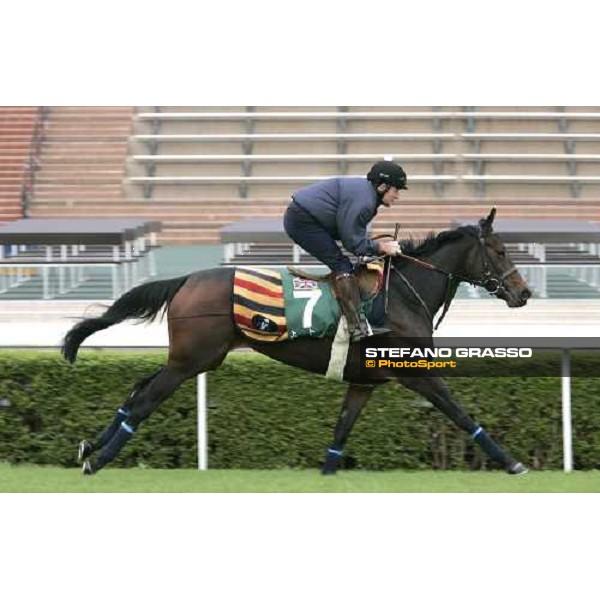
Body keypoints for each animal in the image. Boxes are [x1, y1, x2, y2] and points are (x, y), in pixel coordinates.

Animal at [61, 209, 528, 476]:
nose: (523, 293)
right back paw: (97, 461)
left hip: (195, 358)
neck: (400, 294)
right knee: (144, 400)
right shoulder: (415, 373)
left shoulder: (364, 381)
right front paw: (512, 463)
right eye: (500, 251)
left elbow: (342, 427)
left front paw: (327, 473)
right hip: (190, 361)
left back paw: (91, 445)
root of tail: (186, 279)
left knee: (137, 388)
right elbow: (461, 414)